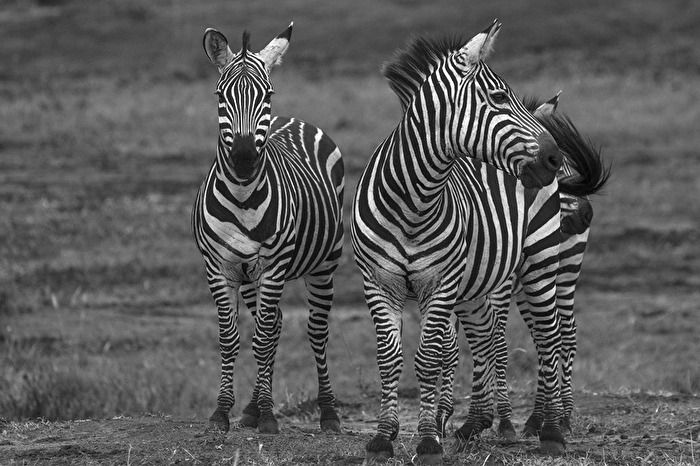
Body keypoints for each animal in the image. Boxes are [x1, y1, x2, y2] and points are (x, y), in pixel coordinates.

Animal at [192, 23, 345, 435]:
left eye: (267, 95)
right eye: (220, 96)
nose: (244, 158)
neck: (244, 195)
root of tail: (291, 120)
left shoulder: (274, 266)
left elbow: (260, 341)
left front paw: (268, 418)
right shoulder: (220, 267)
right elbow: (231, 339)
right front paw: (223, 412)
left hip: (325, 263)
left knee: (316, 331)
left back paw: (328, 412)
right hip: (250, 276)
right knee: (272, 325)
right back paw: (252, 406)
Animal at [351, 21, 569, 463]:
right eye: (499, 97)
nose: (555, 160)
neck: (412, 201)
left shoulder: (440, 284)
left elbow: (430, 358)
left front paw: (427, 440)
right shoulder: (378, 282)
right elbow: (390, 359)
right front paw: (384, 437)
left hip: (540, 264)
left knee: (549, 339)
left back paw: (552, 431)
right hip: (476, 286)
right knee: (488, 338)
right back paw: (478, 424)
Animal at [434, 94, 611, 443]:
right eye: (554, 168)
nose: (586, 215)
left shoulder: (497, 286)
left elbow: (497, 344)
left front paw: (499, 421)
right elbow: (451, 345)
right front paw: (443, 419)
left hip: (563, 273)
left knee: (565, 334)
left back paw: (562, 417)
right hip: (531, 286)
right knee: (545, 339)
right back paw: (536, 419)